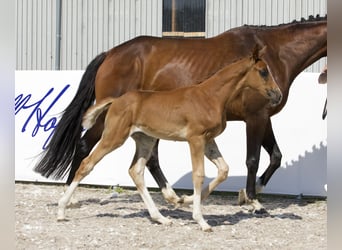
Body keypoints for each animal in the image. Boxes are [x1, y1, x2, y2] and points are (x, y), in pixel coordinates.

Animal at [56, 46, 280, 230]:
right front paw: (201, 220)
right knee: (87, 164)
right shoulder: (195, 139)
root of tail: (115, 101)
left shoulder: (209, 140)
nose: (277, 94)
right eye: (263, 71)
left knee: (136, 171)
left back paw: (160, 218)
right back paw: (61, 210)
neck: (211, 96)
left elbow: (223, 170)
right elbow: (198, 175)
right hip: (114, 137)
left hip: (145, 140)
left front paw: (186, 200)